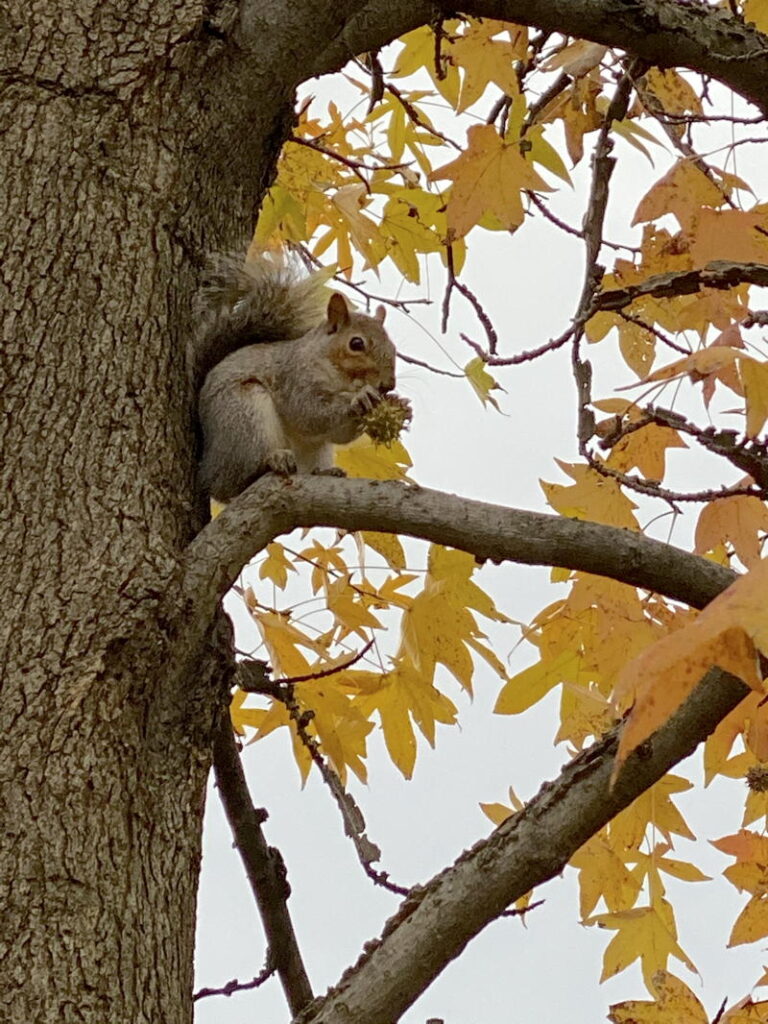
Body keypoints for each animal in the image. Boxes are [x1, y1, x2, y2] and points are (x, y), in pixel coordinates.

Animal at [193, 250, 398, 502]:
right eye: (356, 343)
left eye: (393, 346)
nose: (389, 384)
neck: (338, 379)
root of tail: (208, 468)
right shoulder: (293, 379)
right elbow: (308, 412)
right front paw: (359, 398)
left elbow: (339, 435)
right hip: (244, 417)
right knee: (233, 483)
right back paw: (272, 461)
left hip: (316, 449)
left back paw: (323, 472)